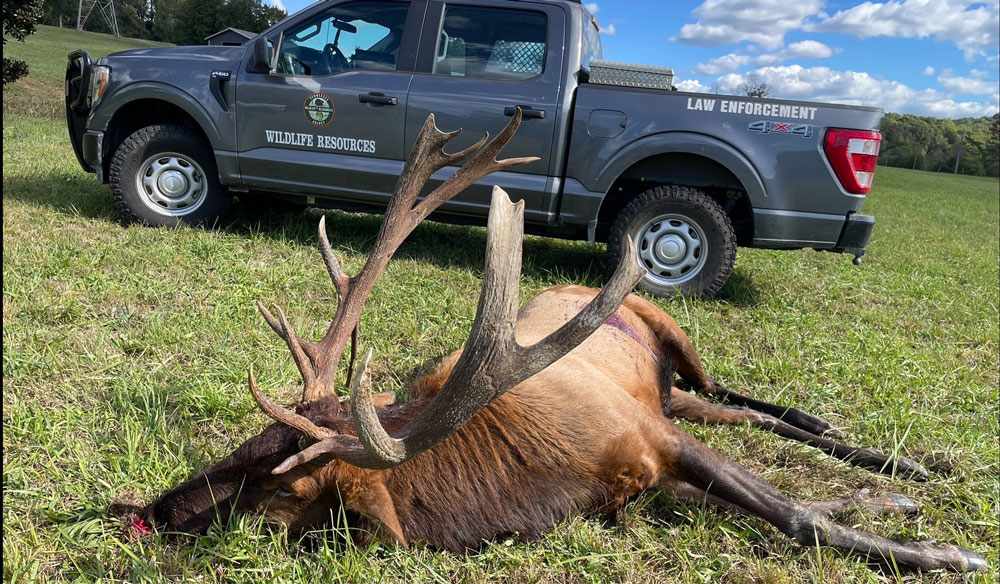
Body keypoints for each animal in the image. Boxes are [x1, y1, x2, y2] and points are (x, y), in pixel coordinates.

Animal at [141, 109, 984, 572]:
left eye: (281, 489)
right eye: (242, 446)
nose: (147, 513)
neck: (544, 485)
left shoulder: (651, 435)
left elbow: (798, 515)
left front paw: (949, 553)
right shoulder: (651, 469)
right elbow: (793, 501)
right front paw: (893, 505)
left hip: (677, 345)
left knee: (745, 398)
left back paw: (895, 456)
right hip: (678, 399)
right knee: (740, 411)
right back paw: (891, 474)